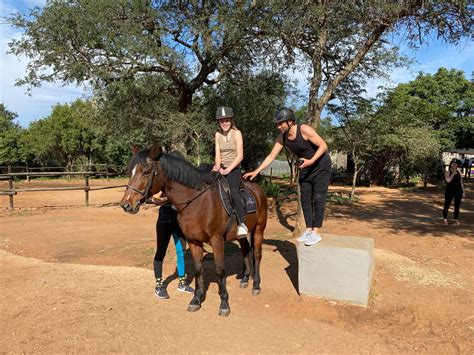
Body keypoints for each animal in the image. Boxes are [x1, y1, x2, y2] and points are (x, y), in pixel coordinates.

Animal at [119, 145, 266, 318]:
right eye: (131, 172)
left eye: (146, 172)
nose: (126, 204)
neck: (198, 200)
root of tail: (257, 189)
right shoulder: (194, 241)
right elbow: (197, 269)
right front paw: (196, 299)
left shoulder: (217, 240)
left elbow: (220, 270)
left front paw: (224, 303)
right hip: (240, 235)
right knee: (245, 250)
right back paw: (244, 279)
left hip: (259, 229)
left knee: (257, 255)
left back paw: (256, 285)